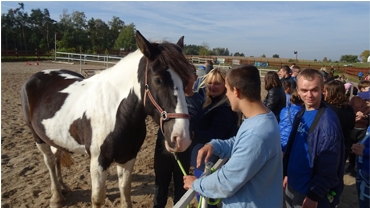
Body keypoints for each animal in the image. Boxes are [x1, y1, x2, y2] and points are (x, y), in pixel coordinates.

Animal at [19, 30, 194, 207]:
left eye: (187, 80)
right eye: (158, 80)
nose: (182, 139)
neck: (116, 113)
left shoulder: (128, 157)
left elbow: (125, 192)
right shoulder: (98, 161)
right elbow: (97, 198)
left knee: (57, 156)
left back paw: (63, 188)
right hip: (38, 137)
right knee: (49, 161)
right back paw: (56, 196)